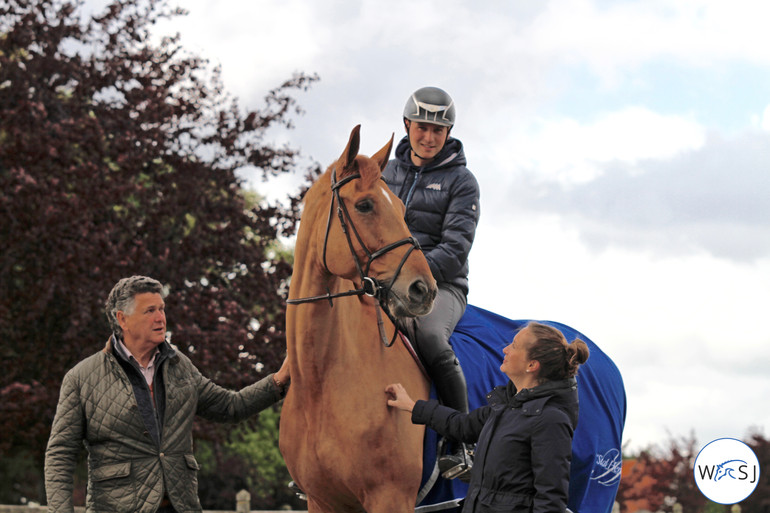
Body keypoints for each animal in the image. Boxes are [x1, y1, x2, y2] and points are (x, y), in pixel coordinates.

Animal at [280, 125, 438, 512]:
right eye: (365, 205)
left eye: (401, 208)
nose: (424, 290)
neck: (322, 381)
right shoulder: (322, 501)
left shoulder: (391, 498)